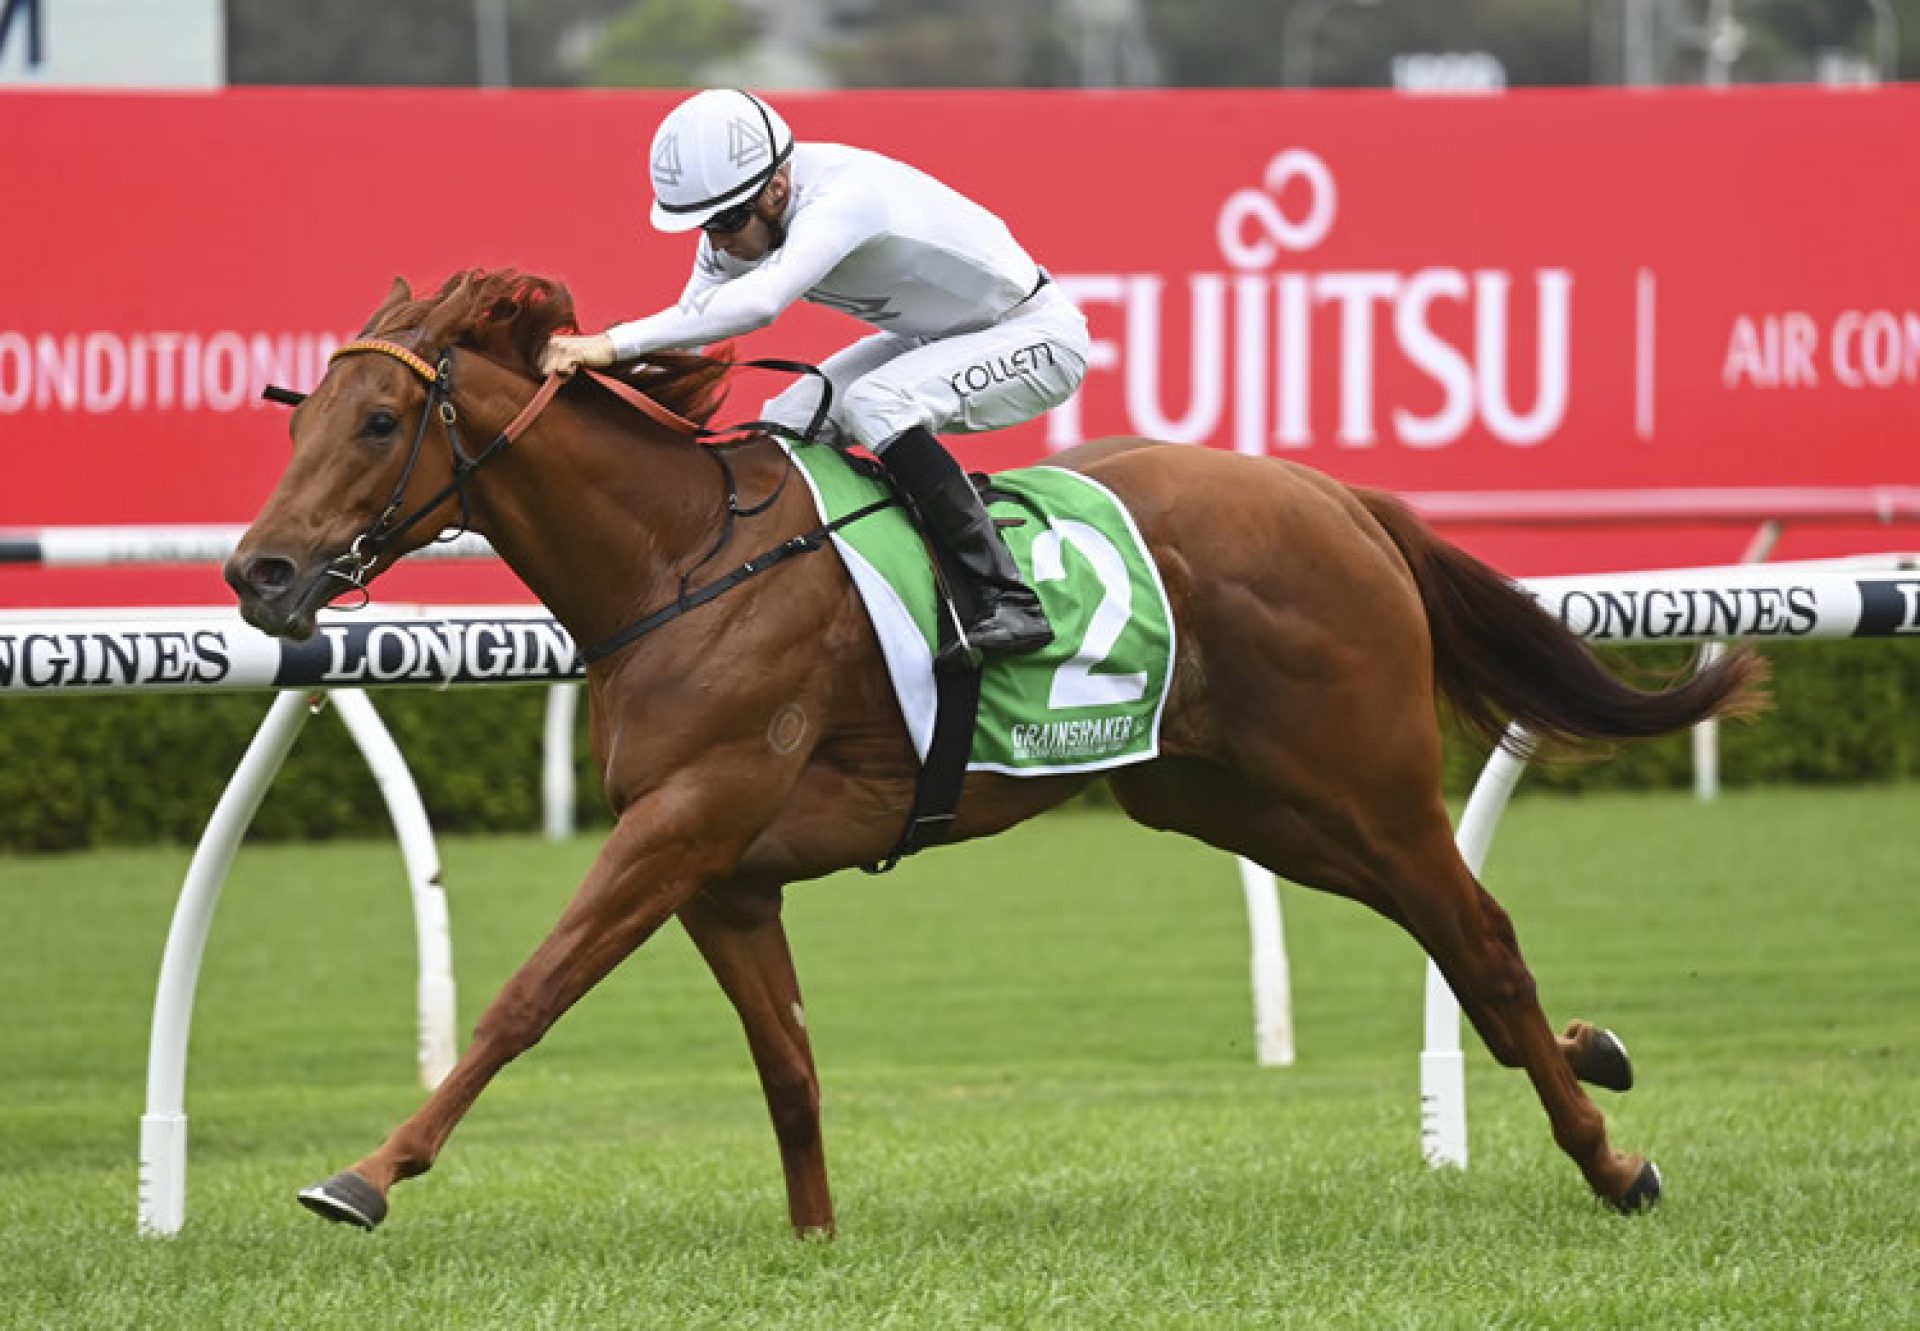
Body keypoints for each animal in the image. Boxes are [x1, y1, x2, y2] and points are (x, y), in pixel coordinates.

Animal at [232, 270, 1758, 1236]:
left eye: (381, 421)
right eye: (299, 416)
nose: (260, 572)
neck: (680, 560)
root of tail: (1333, 492)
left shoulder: (685, 816)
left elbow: (525, 996)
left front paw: (367, 1172)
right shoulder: (723, 868)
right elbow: (789, 1067)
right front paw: (816, 1244)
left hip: (1361, 784)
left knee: (1480, 937)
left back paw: (1611, 1162)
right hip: (1236, 802)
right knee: (1450, 935)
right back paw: (1595, 1050)